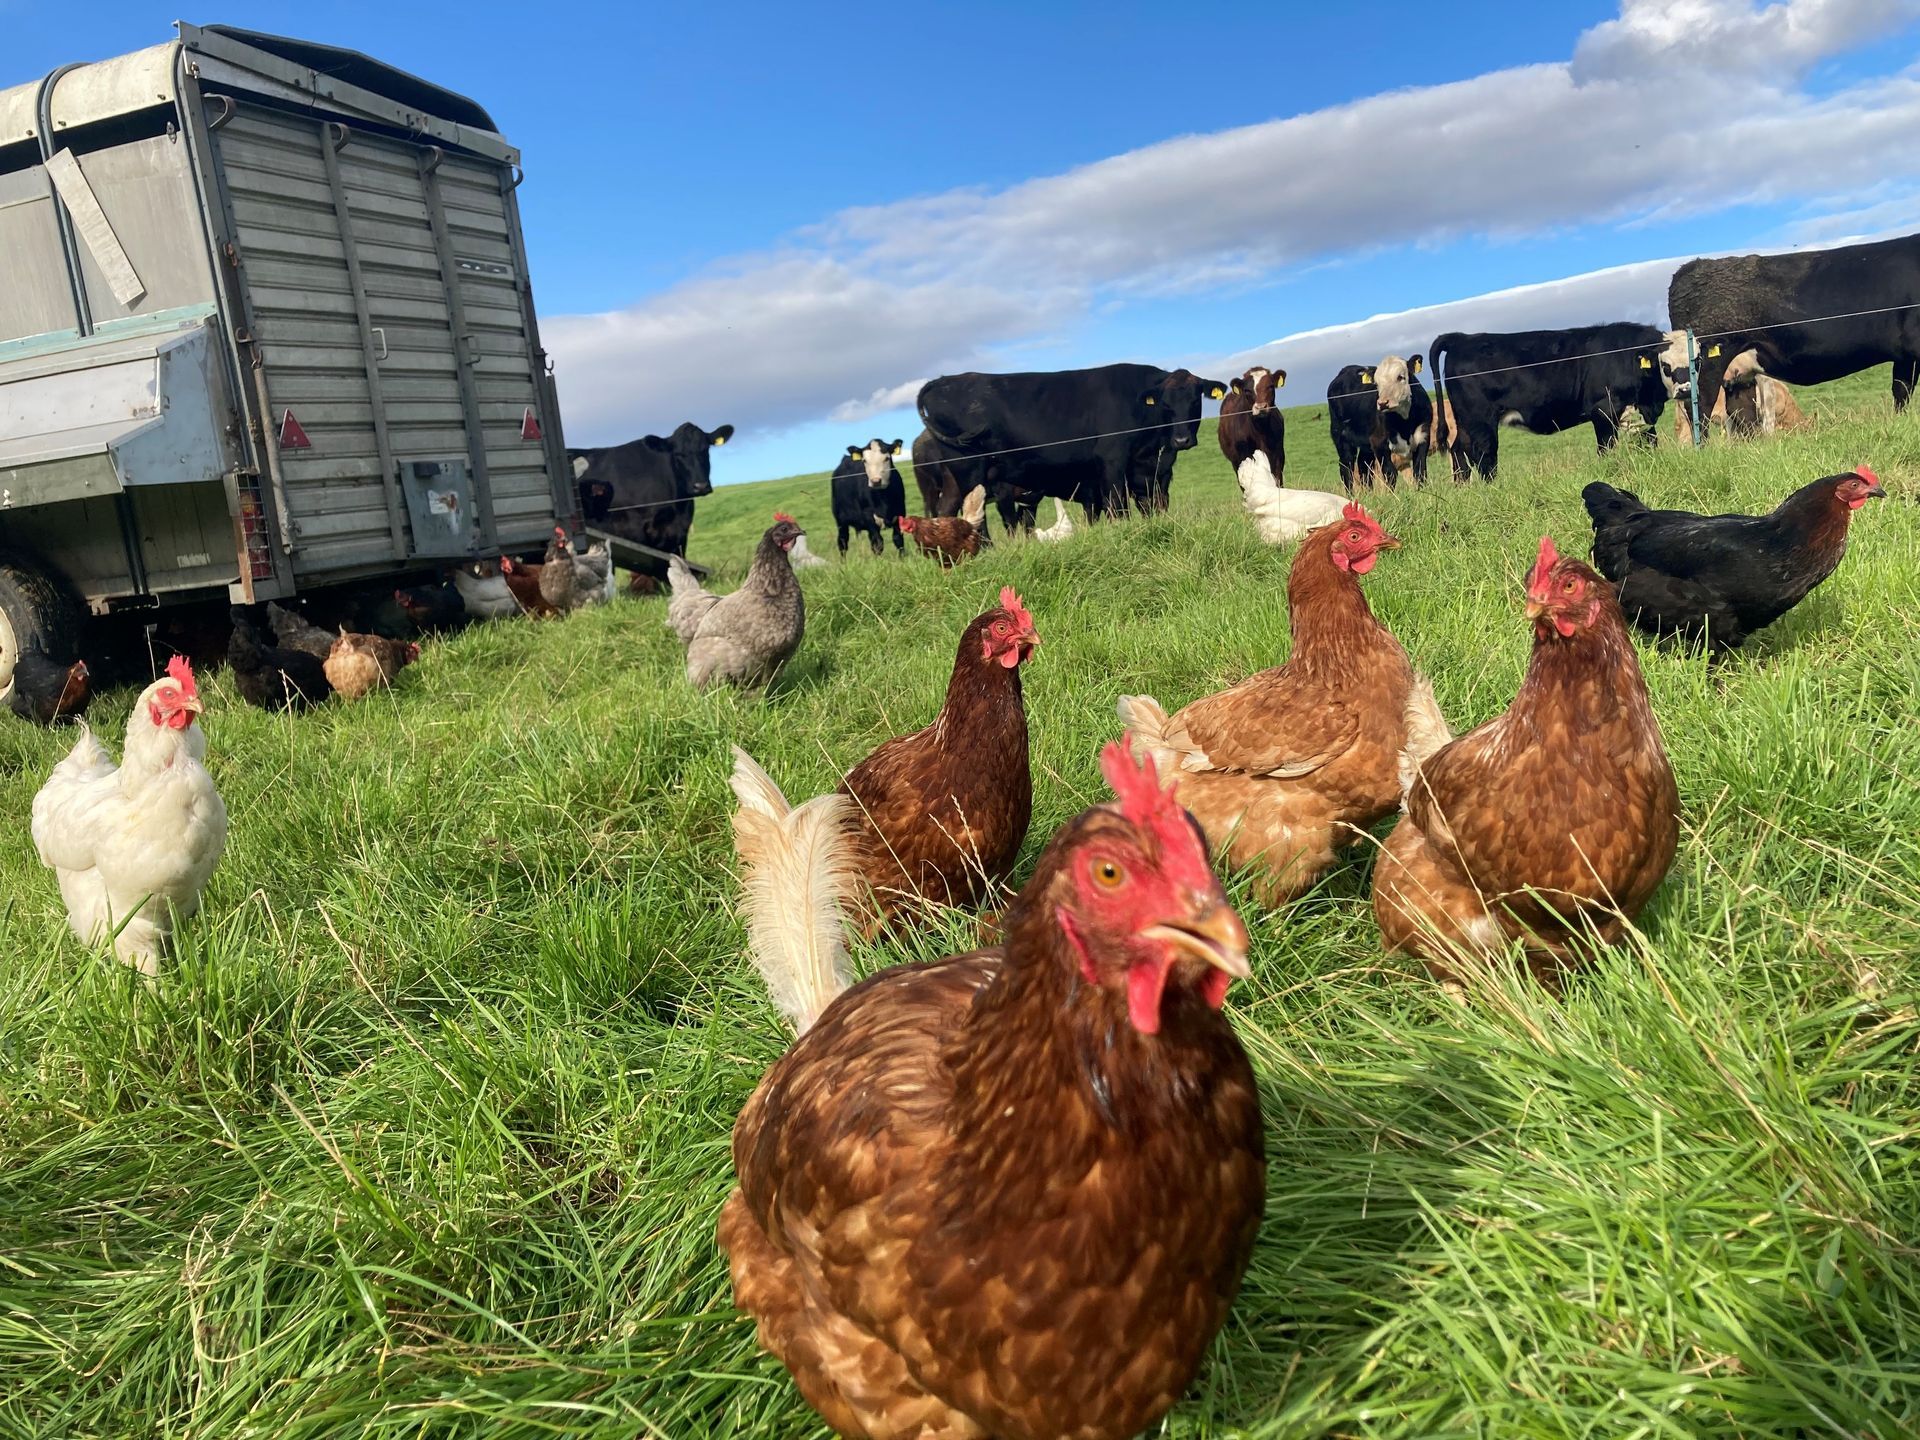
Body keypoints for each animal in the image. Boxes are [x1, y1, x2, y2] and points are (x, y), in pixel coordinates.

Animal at [915, 364, 1228, 521]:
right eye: (1165, 403)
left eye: (1195, 399)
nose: (1182, 438)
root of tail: (942, 381)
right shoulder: (1111, 460)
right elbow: (1118, 506)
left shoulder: (1154, 471)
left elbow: (1154, 506)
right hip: (967, 470)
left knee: (947, 509)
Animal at [1429, 324, 1667, 481]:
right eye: (1666, 365)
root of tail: (1462, 338)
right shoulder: (1603, 410)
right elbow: (1606, 447)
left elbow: (1650, 440)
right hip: (1480, 418)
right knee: (1484, 454)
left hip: (1466, 420)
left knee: (1460, 451)